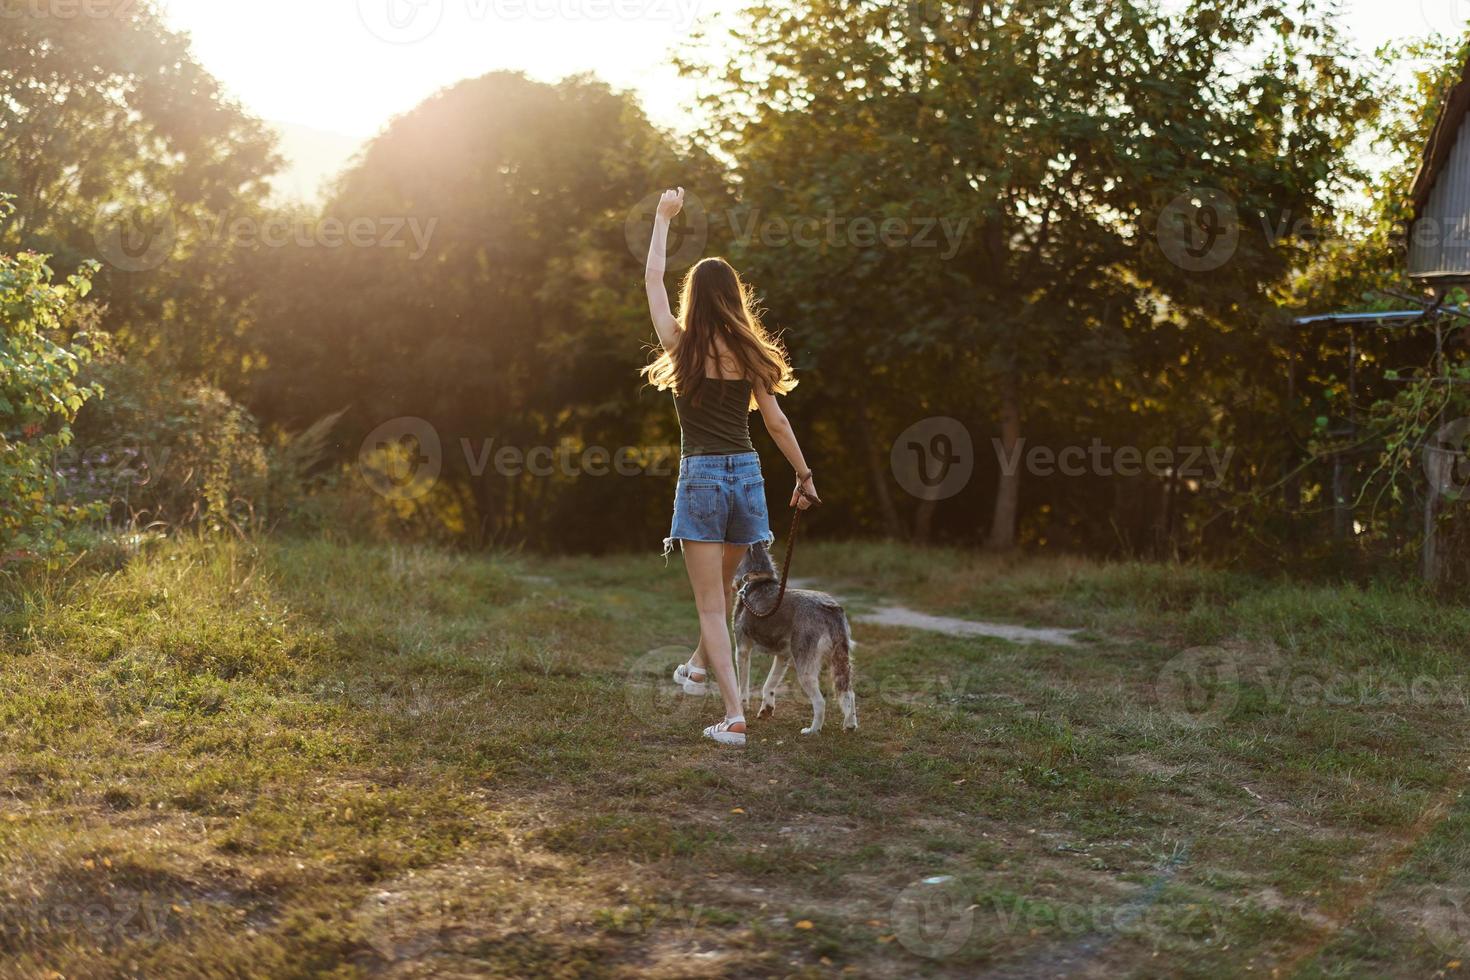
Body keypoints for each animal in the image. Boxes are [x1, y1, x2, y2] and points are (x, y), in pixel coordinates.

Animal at [729, 543, 858, 734]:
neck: (756, 579)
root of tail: (830, 608)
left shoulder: (742, 649)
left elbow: (743, 687)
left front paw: (743, 707)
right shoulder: (783, 656)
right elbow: (769, 684)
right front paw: (767, 709)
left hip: (804, 669)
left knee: (820, 702)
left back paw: (812, 731)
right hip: (839, 660)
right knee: (849, 693)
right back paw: (850, 725)